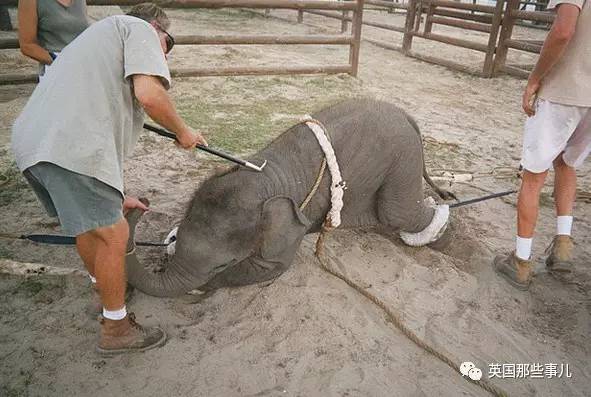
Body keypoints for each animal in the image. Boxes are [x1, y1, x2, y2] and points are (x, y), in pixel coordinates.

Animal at [127, 98, 450, 296]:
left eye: (222, 264)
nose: (142, 203)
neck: (265, 178)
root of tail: (406, 115)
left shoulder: (290, 229)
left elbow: (270, 267)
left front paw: (202, 287)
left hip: (402, 158)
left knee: (398, 212)